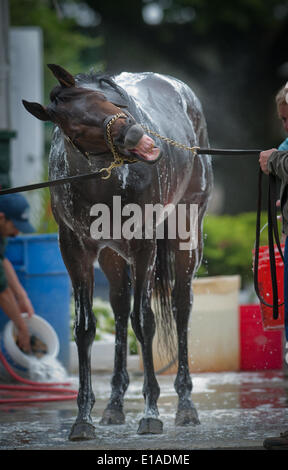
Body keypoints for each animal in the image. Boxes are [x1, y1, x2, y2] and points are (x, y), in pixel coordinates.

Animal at [22, 65, 213, 440]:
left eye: (104, 98)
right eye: (75, 127)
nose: (137, 133)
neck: (105, 180)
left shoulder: (143, 245)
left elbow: (145, 320)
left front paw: (151, 413)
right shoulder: (75, 250)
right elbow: (85, 328)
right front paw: (84, 418)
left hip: (186, 232)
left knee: (181, 306)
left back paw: (185, 404)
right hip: (112, 256)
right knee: (121, 307)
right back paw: (114, 404)